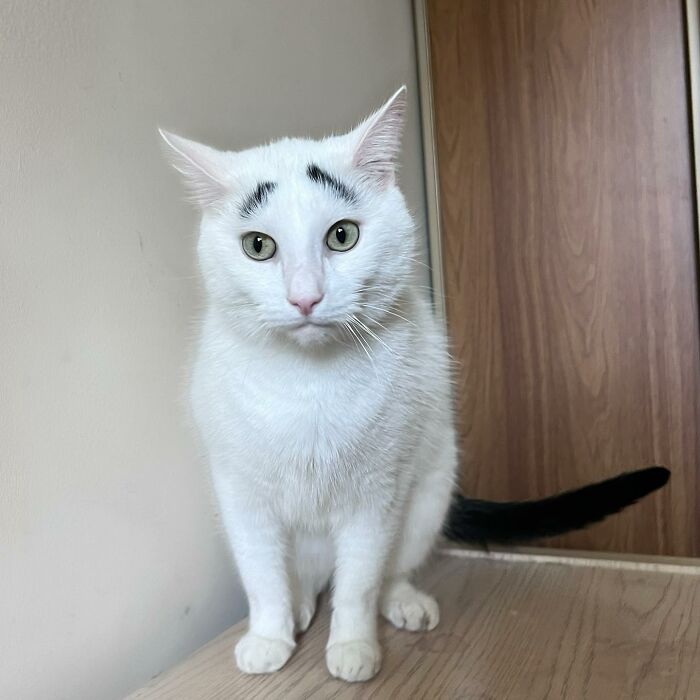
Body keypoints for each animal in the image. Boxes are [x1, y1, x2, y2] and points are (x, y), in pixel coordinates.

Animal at [161, 89, 668, 684]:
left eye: (342, 235)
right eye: (258, 246)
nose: (305, 297)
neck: (309, 384)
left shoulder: (378, 492)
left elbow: (358, 583)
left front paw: (353, 648)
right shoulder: (243, 496)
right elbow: (263, 576)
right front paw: (269, 637)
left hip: (428, 490)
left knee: (384, 574)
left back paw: (403, 603)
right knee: (302, 578)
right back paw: (302, 605)